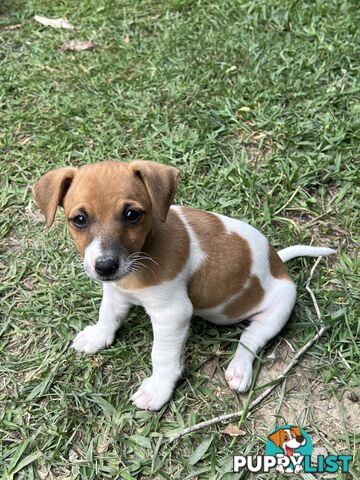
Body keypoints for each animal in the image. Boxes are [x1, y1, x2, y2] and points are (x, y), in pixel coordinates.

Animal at [31, 160, 334, 408]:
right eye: (79, 219)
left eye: (132, 215)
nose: (105, 266)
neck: (144, 253)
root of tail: (278, 262)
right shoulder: (116, 291)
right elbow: (107, 315)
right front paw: (97, 336)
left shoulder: (172, 314)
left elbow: (162, 355)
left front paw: (157, 389)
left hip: (278, 309)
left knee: (250, 339)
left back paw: (239, 369)